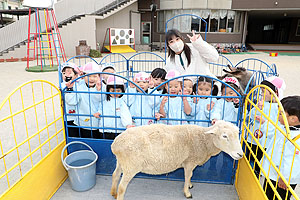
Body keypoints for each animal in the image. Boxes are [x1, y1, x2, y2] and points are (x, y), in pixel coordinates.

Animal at [110, 119, 244, 199]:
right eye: (224, 136)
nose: (240, 154)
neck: (204, 140)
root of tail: (115, 145)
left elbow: (190, 176)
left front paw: (189, 185)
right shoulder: (189, 161)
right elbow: (188, 175)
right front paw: (187, 192)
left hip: (121, 162)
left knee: (115, 175)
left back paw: (113, 193)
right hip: (131, 166)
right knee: (122, 187)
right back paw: (118, 194)